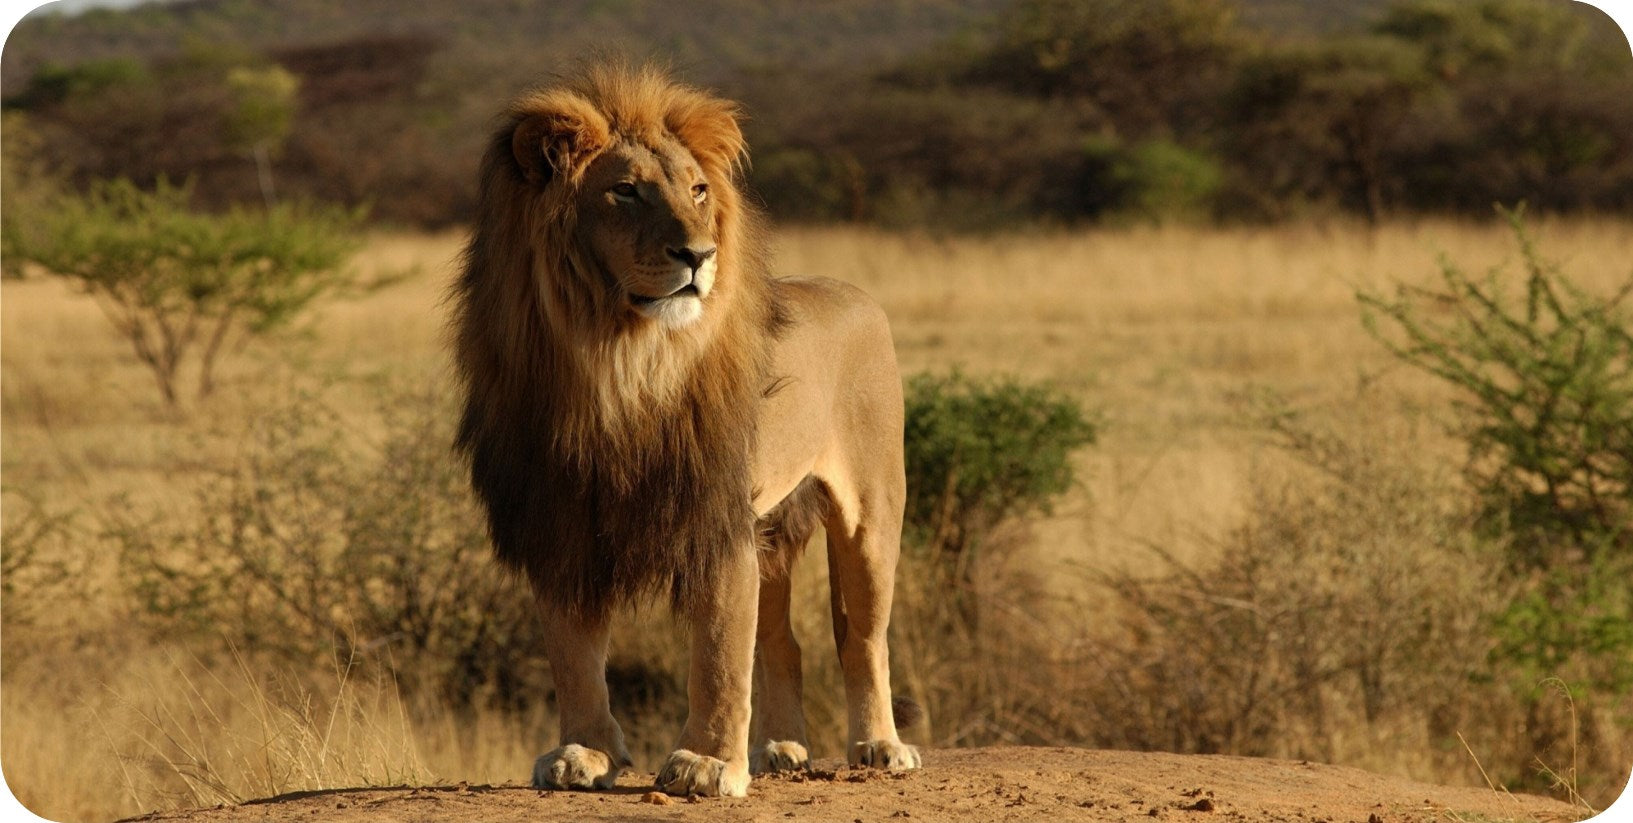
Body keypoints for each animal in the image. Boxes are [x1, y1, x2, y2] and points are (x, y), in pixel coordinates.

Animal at [453, 64, 927, 796]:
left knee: (862, 637)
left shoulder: (714, 517)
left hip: (871, 515)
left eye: (698, 190)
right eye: (624, 191)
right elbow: (573, 653)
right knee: (782, 641)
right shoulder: (560, 517)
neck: (617, 361)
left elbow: (718, 653)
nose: (699, 254)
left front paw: (706, 763)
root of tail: (854, 293)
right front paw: (583, 752)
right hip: (773, 527)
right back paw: (781, 749)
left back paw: (879, 745)